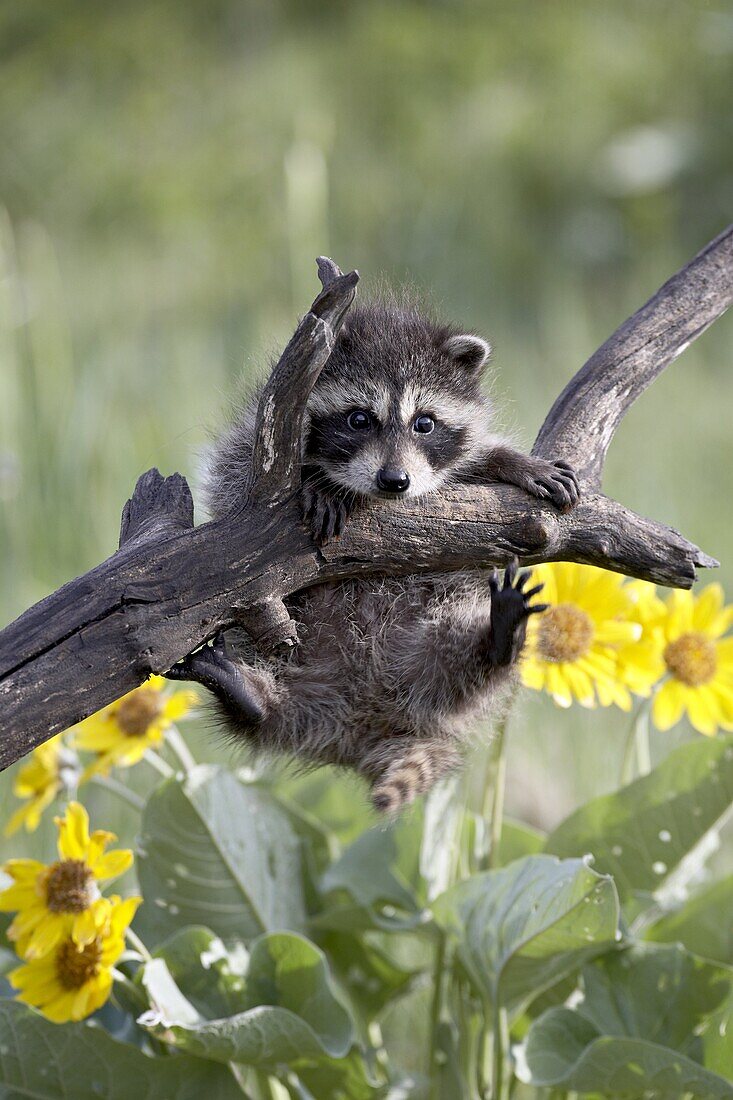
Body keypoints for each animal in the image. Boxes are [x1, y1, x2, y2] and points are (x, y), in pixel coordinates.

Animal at [169, 297, 576, 814]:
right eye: (359, 419)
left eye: (425, 422)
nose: (395, 480)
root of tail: (363, 725)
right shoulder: (253, 454)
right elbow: (235, 478)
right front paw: (321, 482)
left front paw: (513, 462)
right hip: (284, 662)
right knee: (263, 706)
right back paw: (247, 696)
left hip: (430, 652)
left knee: (467, 665)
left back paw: (499, 636)